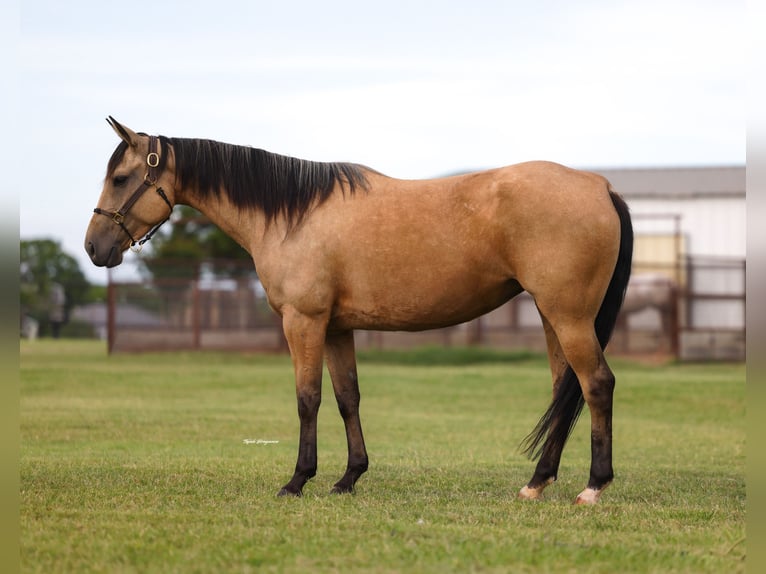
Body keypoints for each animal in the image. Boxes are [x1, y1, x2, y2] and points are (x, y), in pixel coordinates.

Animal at [85, 117, 633, 504]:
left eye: (122, 177)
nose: (94, 247)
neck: (292, 214)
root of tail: (599, 186)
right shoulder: (335, 329)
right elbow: (348, 397)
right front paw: (349, 478)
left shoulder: (302, 322)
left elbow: (307, 399)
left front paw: (298, 480)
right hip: (552, 317)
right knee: (565, 390)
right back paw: (537, 483)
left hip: (569, 317)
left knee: (596, 384)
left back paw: (593, 486)